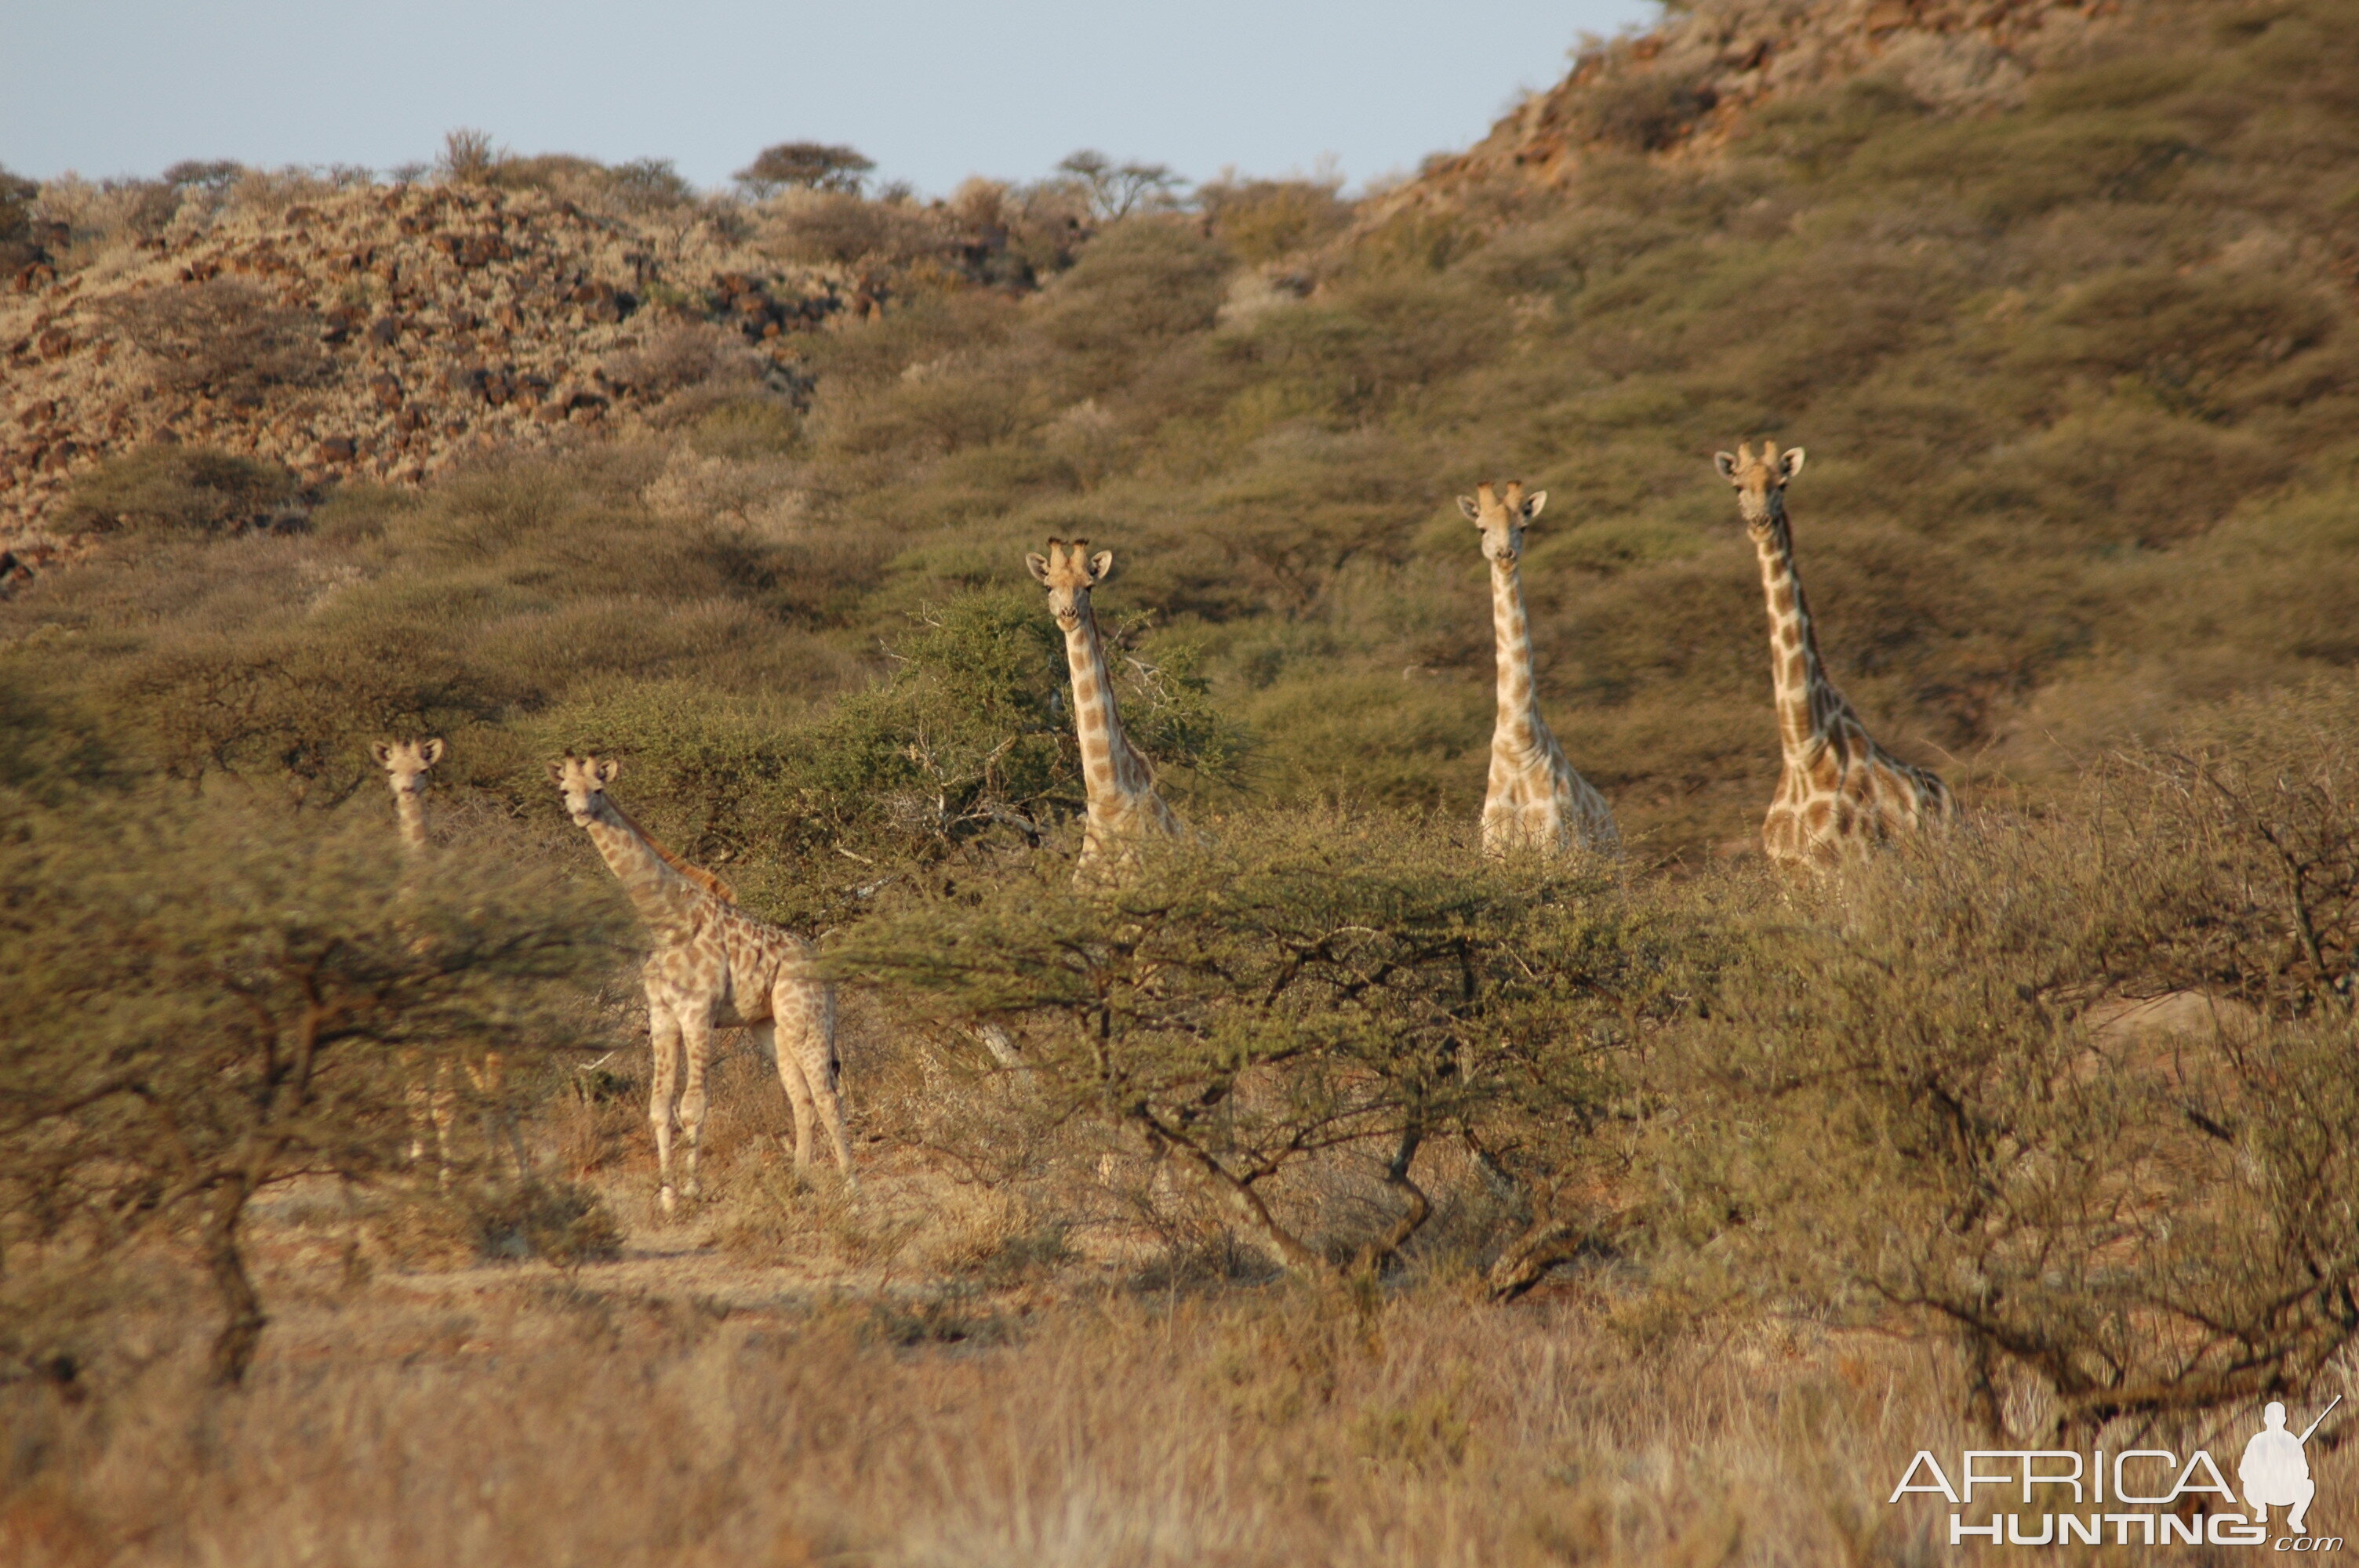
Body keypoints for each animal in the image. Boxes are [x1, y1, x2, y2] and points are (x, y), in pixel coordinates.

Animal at [547, 754, 853, 1207]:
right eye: (566, 789)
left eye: (599, 789)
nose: (582, 814)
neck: (668, 923)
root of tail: (822, 964)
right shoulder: (661, 1017)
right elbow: (659, 1107)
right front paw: (667, 1196)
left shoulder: (697, 1013)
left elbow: (693, 1105)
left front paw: (692, 1188)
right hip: (771, 1027)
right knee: (801, 1098)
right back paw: (800, 1181)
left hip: (809, 1019)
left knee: (828, 1096)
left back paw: (854, 1189)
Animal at [1452, 483, 1623, 862]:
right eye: (1481, 529)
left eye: (1524, 527)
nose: (1505, 554)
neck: (1518, 745)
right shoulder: (1494, 850)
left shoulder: (1554, 847)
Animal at [1717, 436, 1953, 867]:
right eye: (1738, 487)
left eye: (1781, 485)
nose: (1760, 523)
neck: (1803, 750)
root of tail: (1948, 798)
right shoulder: (1790, 871)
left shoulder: (1849, 862)